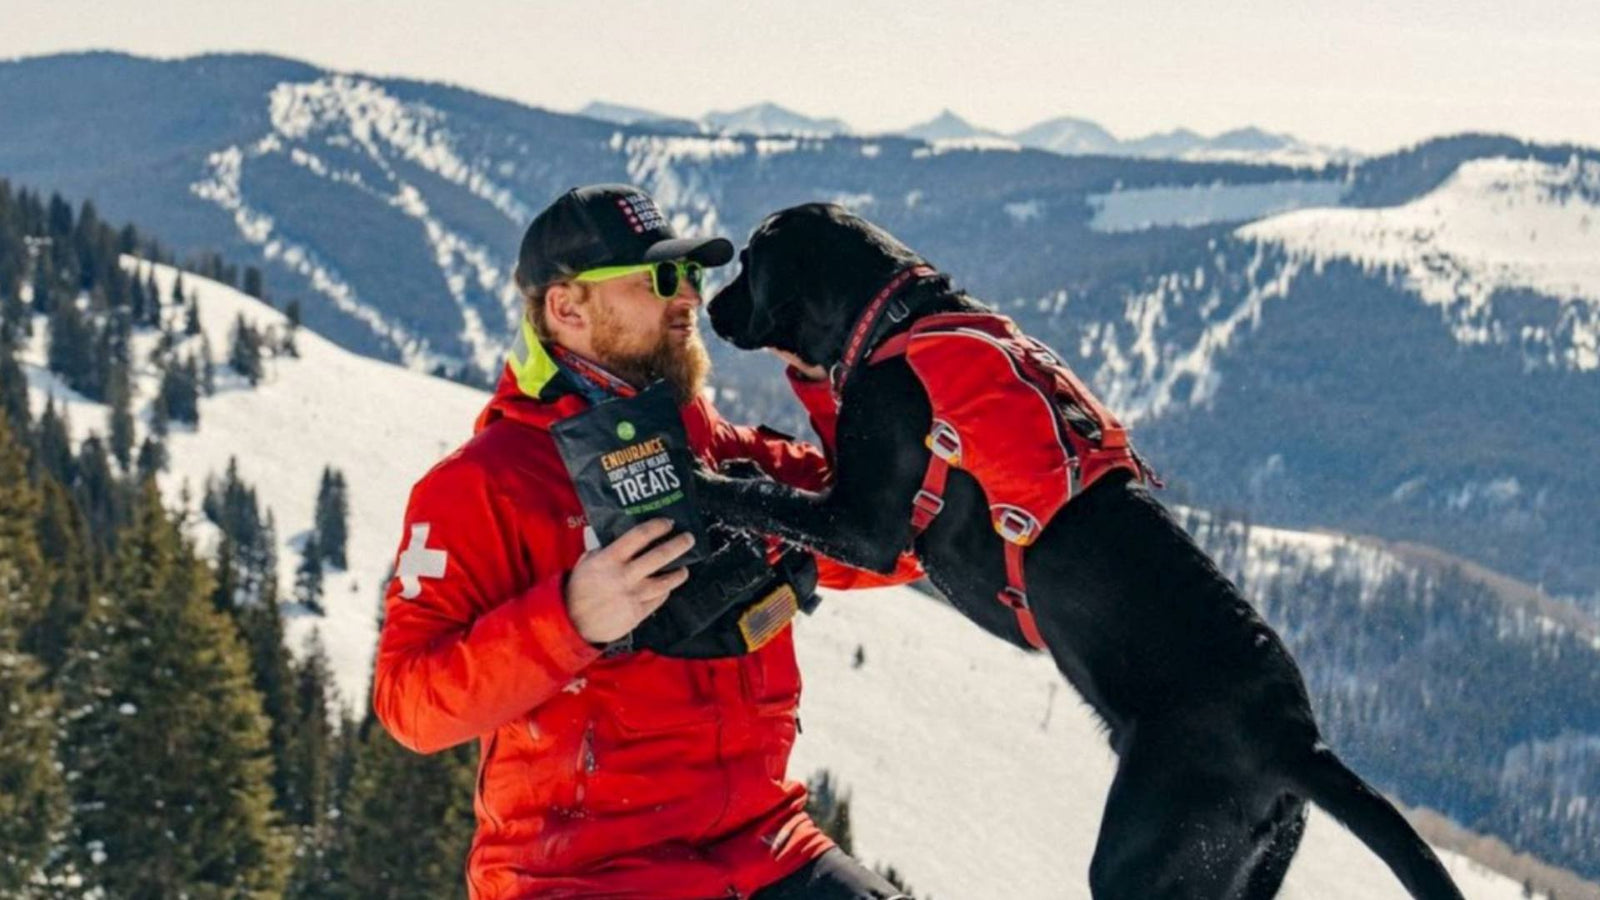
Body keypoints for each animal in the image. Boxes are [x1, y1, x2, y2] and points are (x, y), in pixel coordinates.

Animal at [700, 203, 1465, 896]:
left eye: (750, 264)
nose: (709, 305)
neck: (893, 321)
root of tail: (1297, 736)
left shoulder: (871, 524)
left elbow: (768, 495)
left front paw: (708, 479)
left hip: (1145, 851)